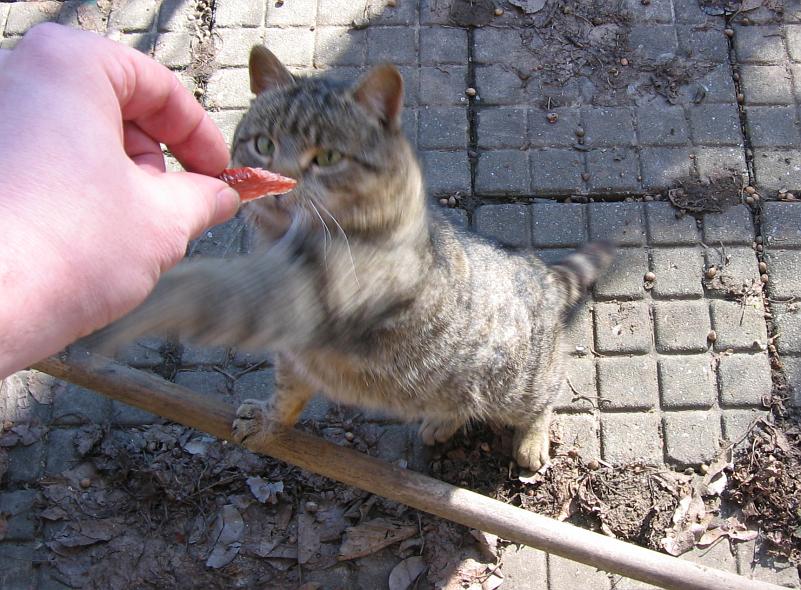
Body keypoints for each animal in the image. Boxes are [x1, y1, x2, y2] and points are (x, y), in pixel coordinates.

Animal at [90, 46, 613, 471]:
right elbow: (287, 396)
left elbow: (206, 292)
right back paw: (442, 421)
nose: (278, 182)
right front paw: (269, 422)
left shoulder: (294, 300)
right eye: (263, 144)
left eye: (327, 158)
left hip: (518, 382)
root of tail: (541, 271)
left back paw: (530, 440)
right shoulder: (293, 356)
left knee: (545, 397)